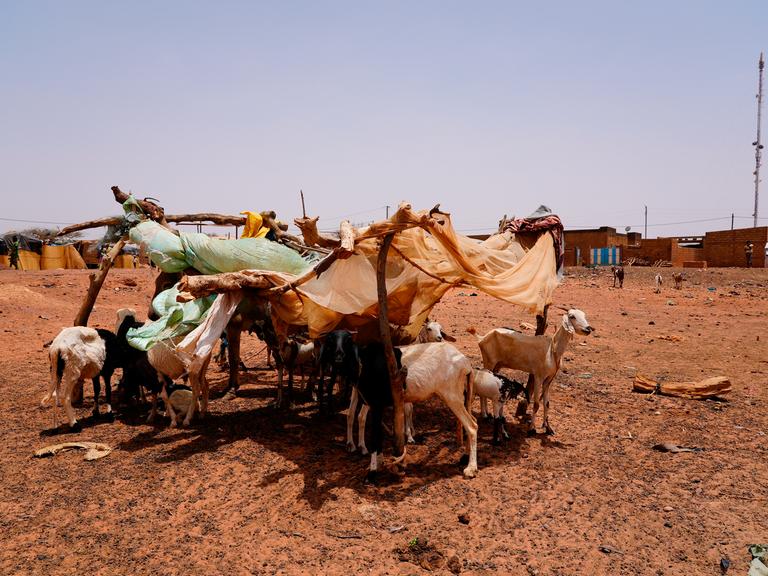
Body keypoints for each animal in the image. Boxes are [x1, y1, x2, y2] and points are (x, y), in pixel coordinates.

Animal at [358, 342, 476, 482]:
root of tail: (466, 362)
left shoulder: (376, 404)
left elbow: (375, 438)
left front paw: (372, 473)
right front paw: (379, 464)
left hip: (452, 396)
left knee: (472, 426)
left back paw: (471, 469)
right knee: (473, 421)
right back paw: (465, 457)